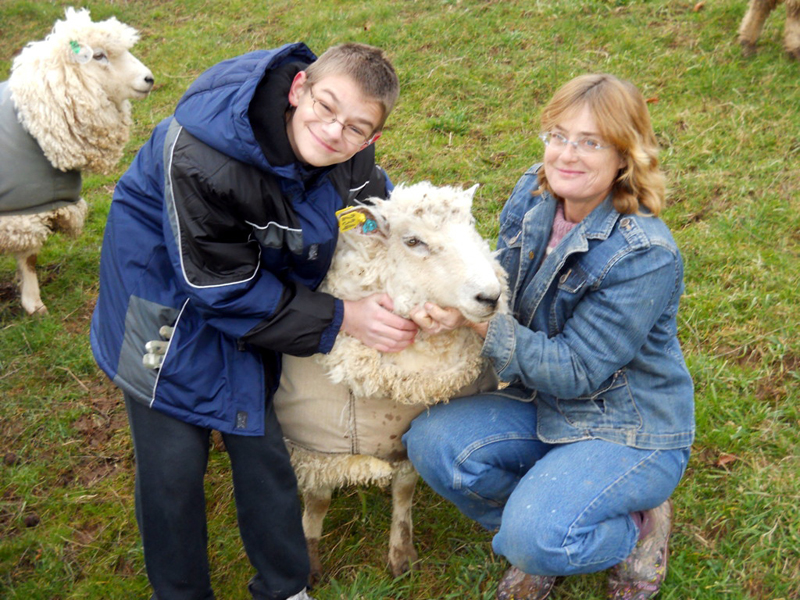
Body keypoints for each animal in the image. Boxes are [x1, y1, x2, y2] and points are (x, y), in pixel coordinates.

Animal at [0, 7, 154, 315]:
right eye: (99, 56)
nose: (149, 78)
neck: (34, 123)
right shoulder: (21, 211)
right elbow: (29, 258)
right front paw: (34, 303)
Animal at [272, 181, 507, 584]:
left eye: (472, 228)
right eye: (413, 241)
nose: (490, 297)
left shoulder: (404, 437)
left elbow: (404, 490)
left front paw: (402, 553)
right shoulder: (315, 447)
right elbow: (318, 501)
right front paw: (310, 560)